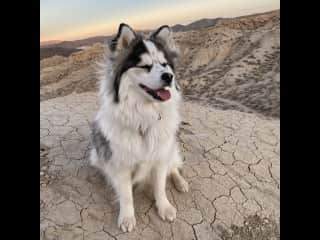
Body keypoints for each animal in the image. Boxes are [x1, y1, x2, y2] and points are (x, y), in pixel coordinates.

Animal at [89, 23, 188, 232]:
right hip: (96, 155)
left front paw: (164, 207)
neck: (144, 116)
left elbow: (160, 186)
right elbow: (126, 195)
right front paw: (127, 217)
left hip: (170, 149)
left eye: (165, 64)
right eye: (144, 66)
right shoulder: (120, 163)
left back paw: (181, 182)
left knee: (174, 167)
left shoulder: (160, 156)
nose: (169, 77)